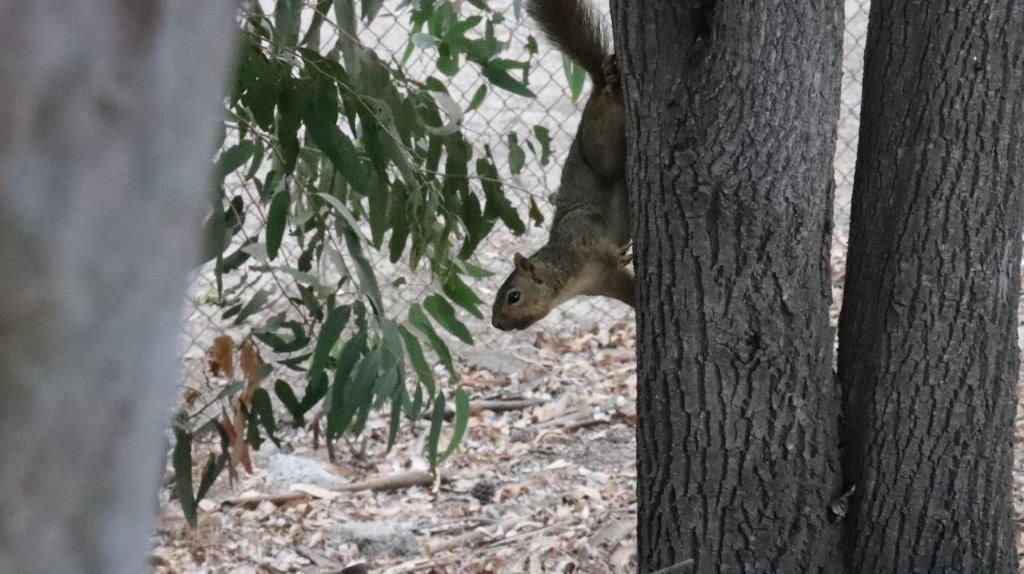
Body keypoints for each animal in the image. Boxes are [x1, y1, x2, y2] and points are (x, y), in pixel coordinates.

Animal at [489, 0, 626, 331]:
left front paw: (618, 253)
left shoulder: (581, 233)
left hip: (599, 143)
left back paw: (609, 83)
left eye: (513, 296)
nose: (497, 324)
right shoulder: (607, 282)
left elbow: (601, 242)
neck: (571, 281)